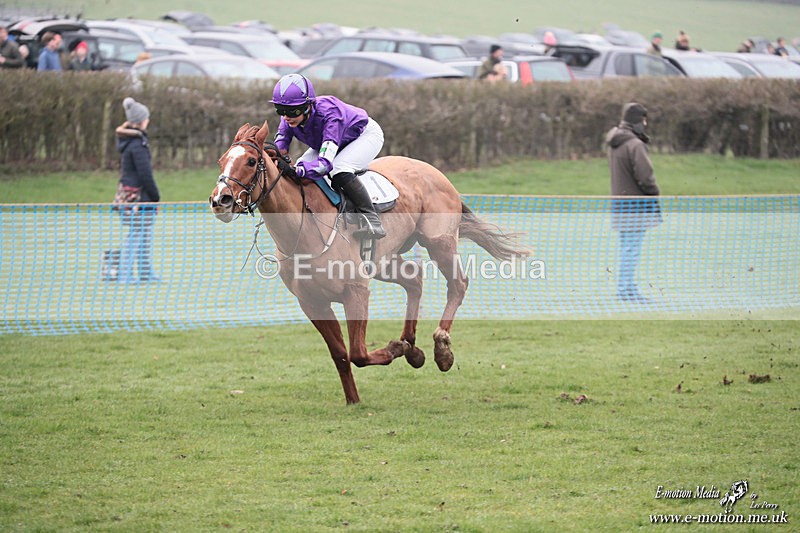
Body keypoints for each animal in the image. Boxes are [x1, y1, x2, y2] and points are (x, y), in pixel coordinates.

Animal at [209, 121, 526, 404]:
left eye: (251, 161)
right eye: (222, 160)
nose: (220, 200)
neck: (303, 229)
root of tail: (433, 171)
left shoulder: (356, 292)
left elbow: (358, 353)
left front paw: (396, 349)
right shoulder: (312, 302)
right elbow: (340, 354)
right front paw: (354, 399)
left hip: (439, 241)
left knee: (457, 283)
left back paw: (441, 348)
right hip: (384, 260)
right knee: (414, 278)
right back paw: (412, 346)